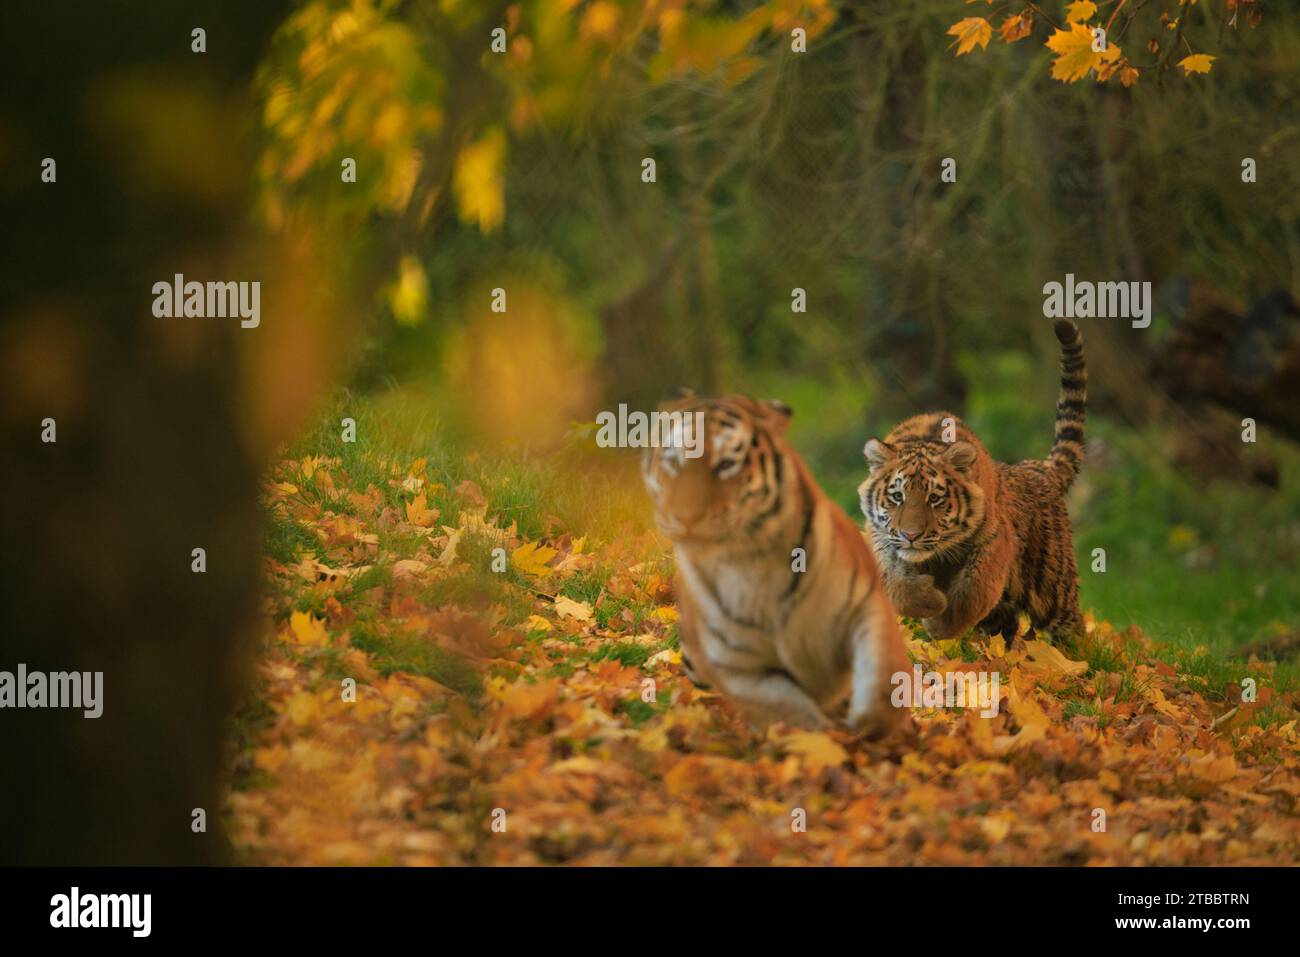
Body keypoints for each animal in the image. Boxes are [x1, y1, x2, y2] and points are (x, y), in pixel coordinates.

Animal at [642, 392, 909, 734]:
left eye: (727, 464)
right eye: (674, 463)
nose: (685, 516)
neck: (751, 559)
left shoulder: (865, 605)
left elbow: (882, 670)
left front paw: (871, 726)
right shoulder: (736, 668)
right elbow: (791, 710)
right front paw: (820, 739)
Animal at [858, 319, 1087, 642]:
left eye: (934, 498)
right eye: (897, 497)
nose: (911, 535)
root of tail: (1036, 468)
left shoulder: (993, 541)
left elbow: (972, 593)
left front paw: (940, 624)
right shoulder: (883, 541)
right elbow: (896, 583)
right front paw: (928, 601)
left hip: (1053, 587)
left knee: (1072, 627)